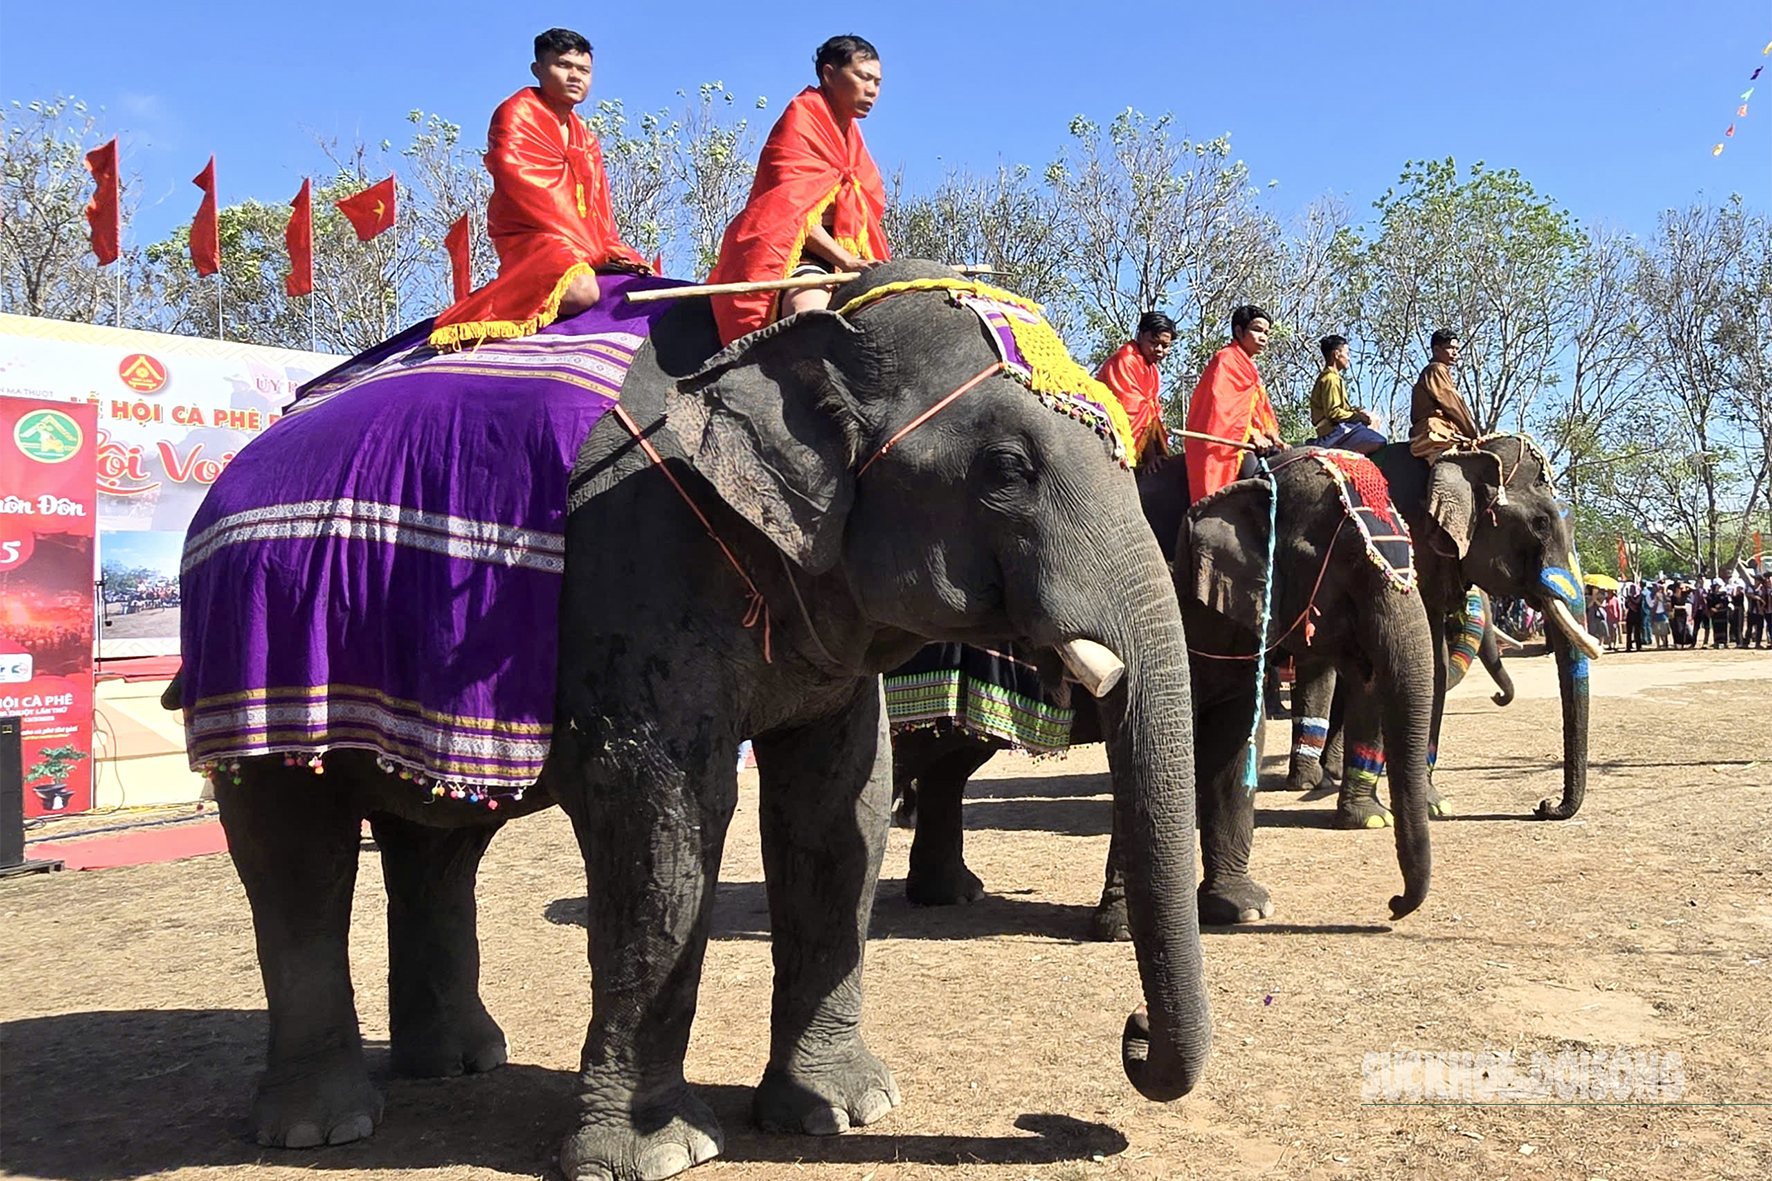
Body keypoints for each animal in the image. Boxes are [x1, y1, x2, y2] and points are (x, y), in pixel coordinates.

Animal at [176, 260, 1204, 1177]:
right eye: (1005, 470)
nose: (1129, 1032)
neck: (784, 331)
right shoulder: (633, 564)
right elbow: (662, 815)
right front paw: (658, 1154)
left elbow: (840, 808)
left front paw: (841, 1110)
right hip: (251, 647)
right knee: (295, 855)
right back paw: (322, 1126)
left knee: (439, 842)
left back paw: (462, 1063)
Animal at [893, 441, 1431, 929]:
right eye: (1345, 558)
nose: (1392, 906)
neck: (1254, 472)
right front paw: (1126, 929)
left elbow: (1236, 742)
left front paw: (1244, 910)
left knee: (951, 763)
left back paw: (951, 895)